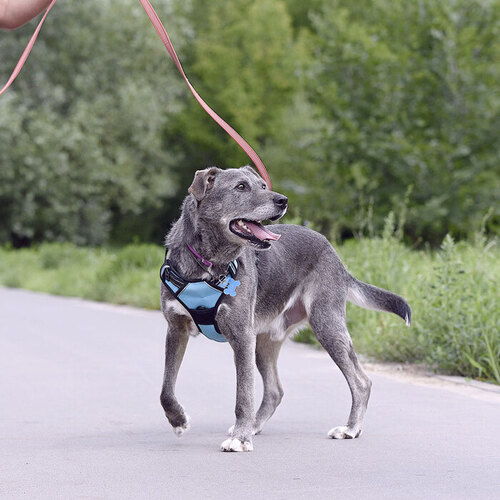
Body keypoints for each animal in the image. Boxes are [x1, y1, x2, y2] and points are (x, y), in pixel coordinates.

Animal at [160, 165, 411, 452]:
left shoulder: (241, 336)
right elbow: (166, 388)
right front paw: (178, 420)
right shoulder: (175, 330)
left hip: (326, 325)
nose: (283, 200)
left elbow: (243, 395)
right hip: (264, 342)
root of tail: (335, 255)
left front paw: (240, 439)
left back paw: (350, 428)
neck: (207, 265)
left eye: (262, 185)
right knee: (274, 391)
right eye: (241, 187)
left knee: (361, 381)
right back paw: (255, 426)